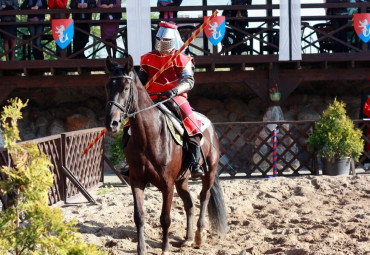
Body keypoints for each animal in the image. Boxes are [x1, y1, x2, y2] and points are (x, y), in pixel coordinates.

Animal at [102, 56, 227, 255]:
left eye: (126, 88)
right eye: (108, 86)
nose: (111, 122)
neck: (149, 136)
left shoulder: (167, 184)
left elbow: (165, 218)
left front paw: (165, 248)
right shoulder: (137, 181)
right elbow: (139, 216)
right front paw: (141, 249)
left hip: (209, 172)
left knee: (204, 197)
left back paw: (199, 236)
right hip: (182, 180)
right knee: (189, 204)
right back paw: (188, 238)